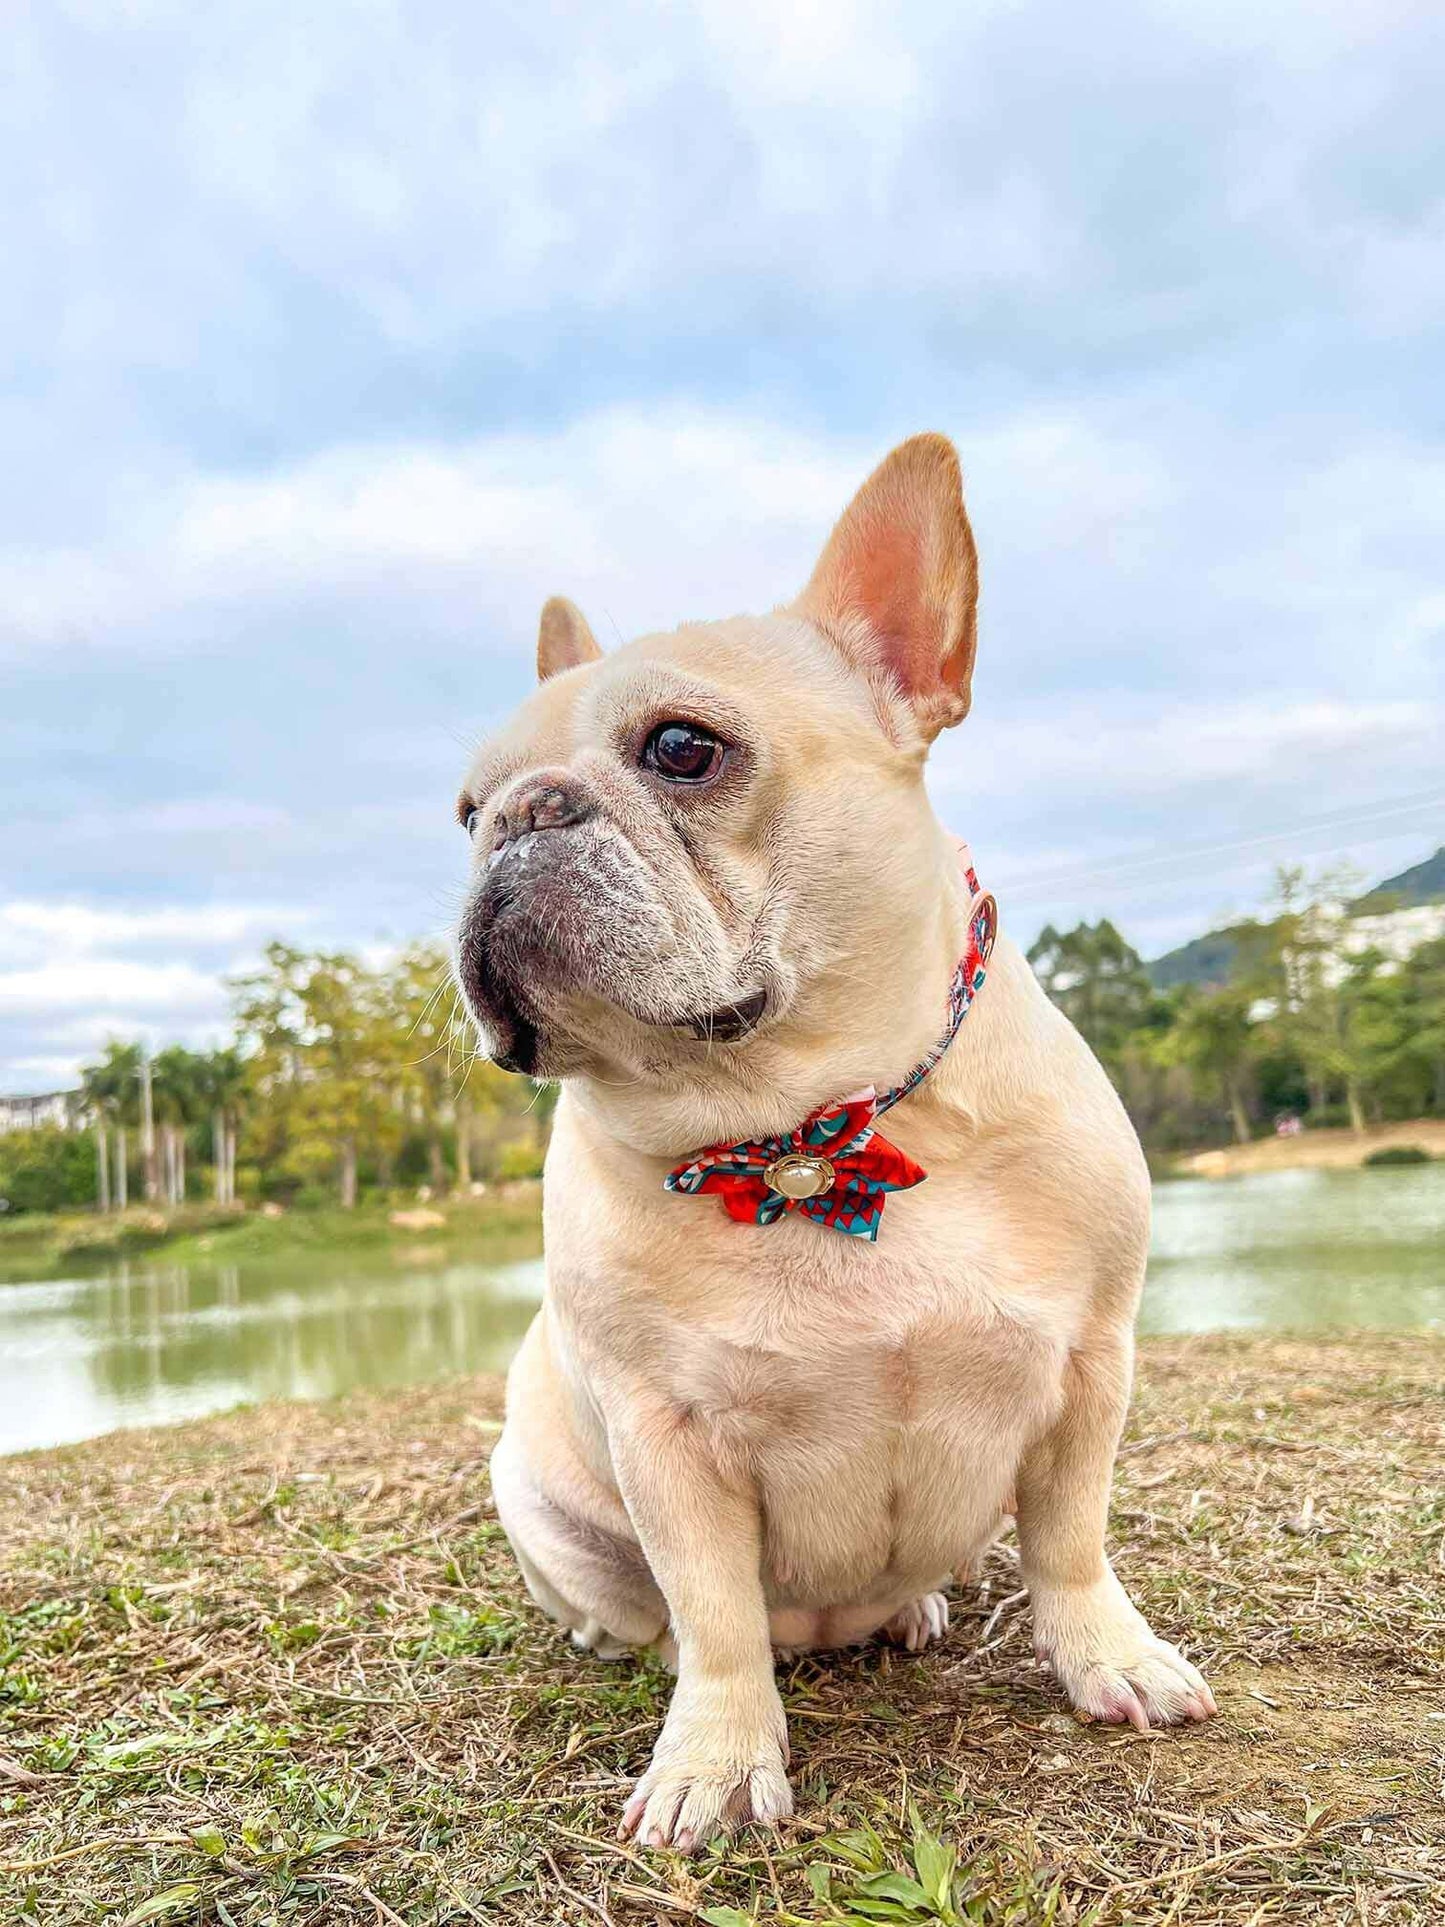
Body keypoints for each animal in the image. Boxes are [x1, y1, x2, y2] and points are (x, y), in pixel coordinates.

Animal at [452, 433, 1209, 1849]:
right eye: (462, 809)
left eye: (681, 747)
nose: (519, 814)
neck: (806, 1130)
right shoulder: (662, 1434)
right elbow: (712, 1613)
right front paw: (711, 1759)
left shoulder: (1090, 1365)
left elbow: (1069, 1539)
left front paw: (1107, 1658)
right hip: (542, 1499)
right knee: (660, 1614)